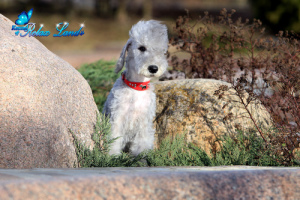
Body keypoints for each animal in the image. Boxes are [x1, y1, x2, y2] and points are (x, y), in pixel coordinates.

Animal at [103, 19, 169, 155]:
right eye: (142, 48)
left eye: (162, 51)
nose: (153, 68)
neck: (136, 87)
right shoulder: (117, 118)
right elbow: (114, 140)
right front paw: (112, 156)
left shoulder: (144, 123)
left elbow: (141, 144)